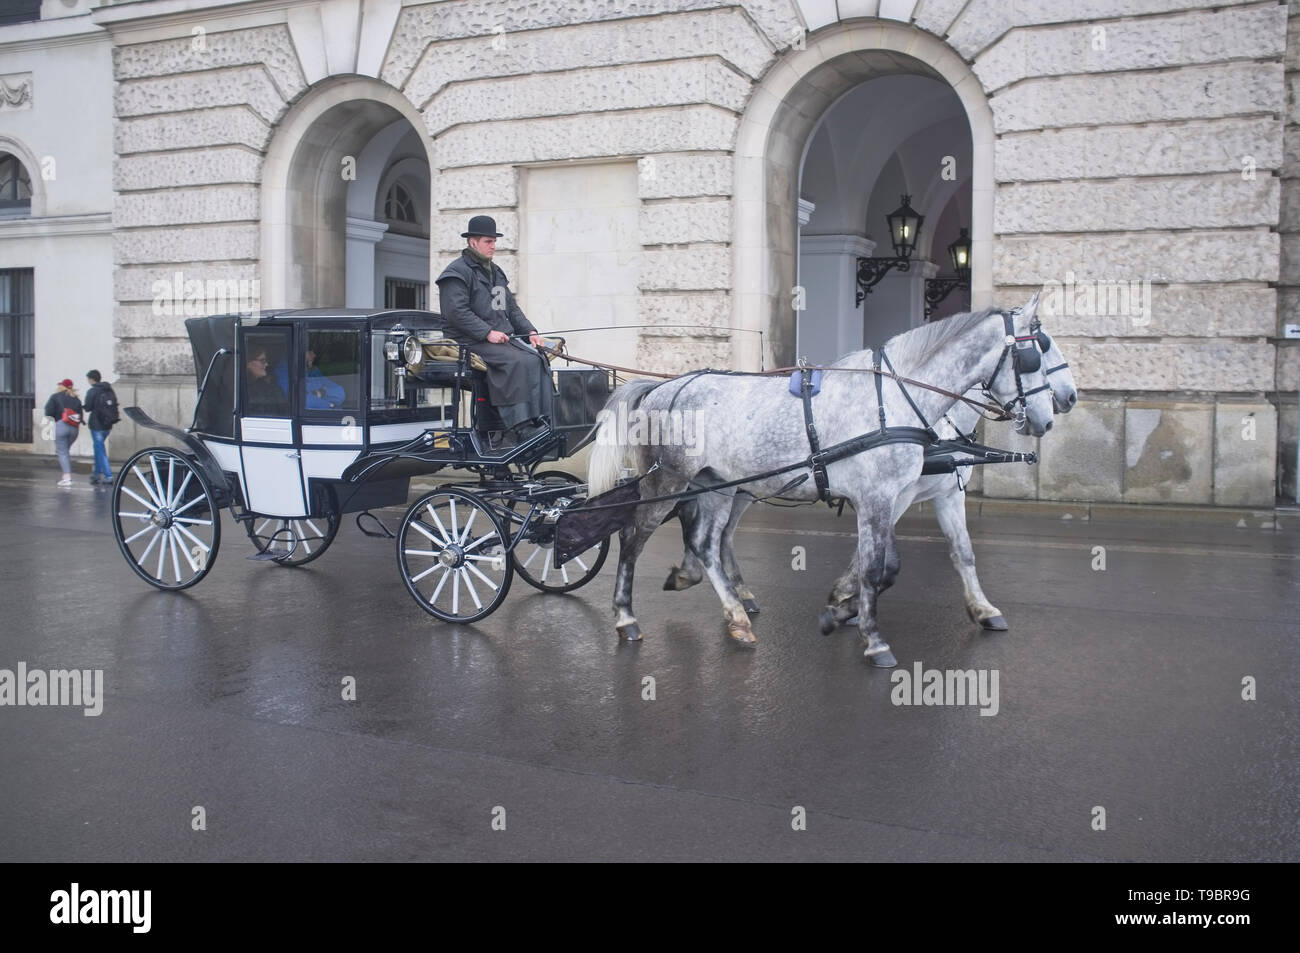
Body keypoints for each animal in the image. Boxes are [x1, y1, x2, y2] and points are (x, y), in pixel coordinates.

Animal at [590, 301, 1055, 665]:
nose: (1053, 413)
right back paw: (626, 615)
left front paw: (842, 611)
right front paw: (872, 637)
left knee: (707, 543)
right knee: (634, 536)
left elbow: (916, 560)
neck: (895, 401)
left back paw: (734, 611)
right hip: (669, 480)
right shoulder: (879, 496)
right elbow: (874, 568)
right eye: (1035, 357)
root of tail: (662, 387)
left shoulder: (903, 495)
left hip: (719, 485)